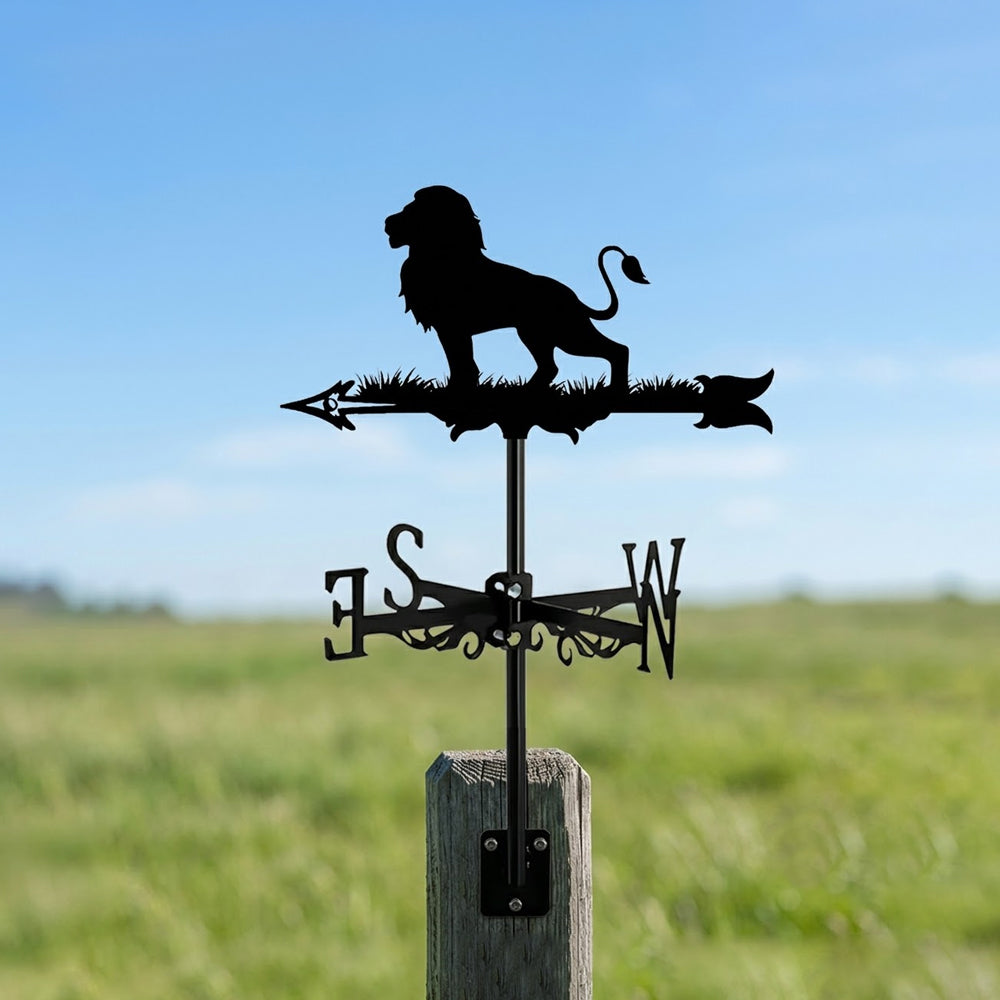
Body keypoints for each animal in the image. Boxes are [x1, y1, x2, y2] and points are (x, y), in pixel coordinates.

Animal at [384, 185, 648, 391]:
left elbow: (462, 363)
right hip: (539, 335)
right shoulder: (451, 329)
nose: (387, 222)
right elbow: (463, 363)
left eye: (413, 210)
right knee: (551, 367)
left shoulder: (453, 327)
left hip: (566, 333)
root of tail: (573, 298)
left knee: (617, 351)